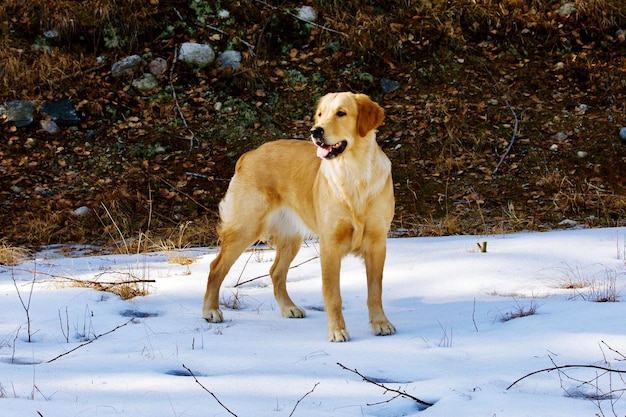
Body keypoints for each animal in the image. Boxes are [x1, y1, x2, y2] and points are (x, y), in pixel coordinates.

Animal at [202, 92, 392, 342]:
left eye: (341, 113)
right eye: (320, 114)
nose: (316, 131)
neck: (354, 174)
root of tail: (249, 154)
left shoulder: (377, 243)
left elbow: (375, 291)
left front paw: (380, 323)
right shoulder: (330, 245)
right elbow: (333, 294)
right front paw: (337, 330)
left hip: (290, 238)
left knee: (275, 272)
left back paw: (288, 308)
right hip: (245, 228)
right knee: (216, 267)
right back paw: (210, 310)